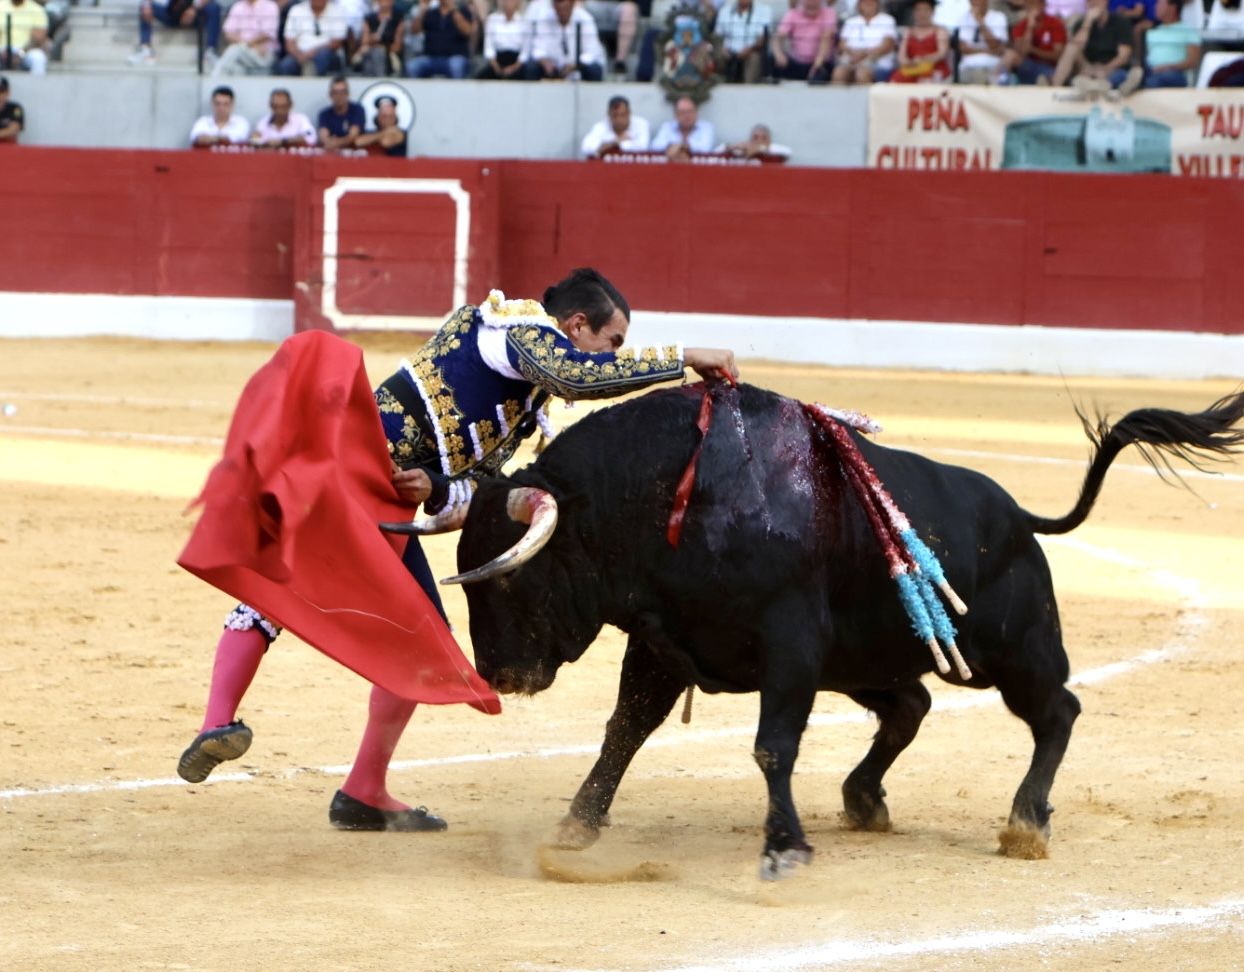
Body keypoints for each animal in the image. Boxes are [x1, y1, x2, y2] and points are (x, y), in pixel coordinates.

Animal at [440, 383, 1244, 876]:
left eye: (508, 576)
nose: (499, 675)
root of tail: (1019, 516)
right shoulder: (662, 640)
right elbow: (625, 728)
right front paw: (576, 825)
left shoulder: (789, 643)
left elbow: (772, 746)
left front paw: (784, 848)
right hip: (866, 661)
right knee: (913, 706)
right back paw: (865, 799)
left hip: (1015, 653)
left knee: (1057, 712)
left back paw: (1025, 824)